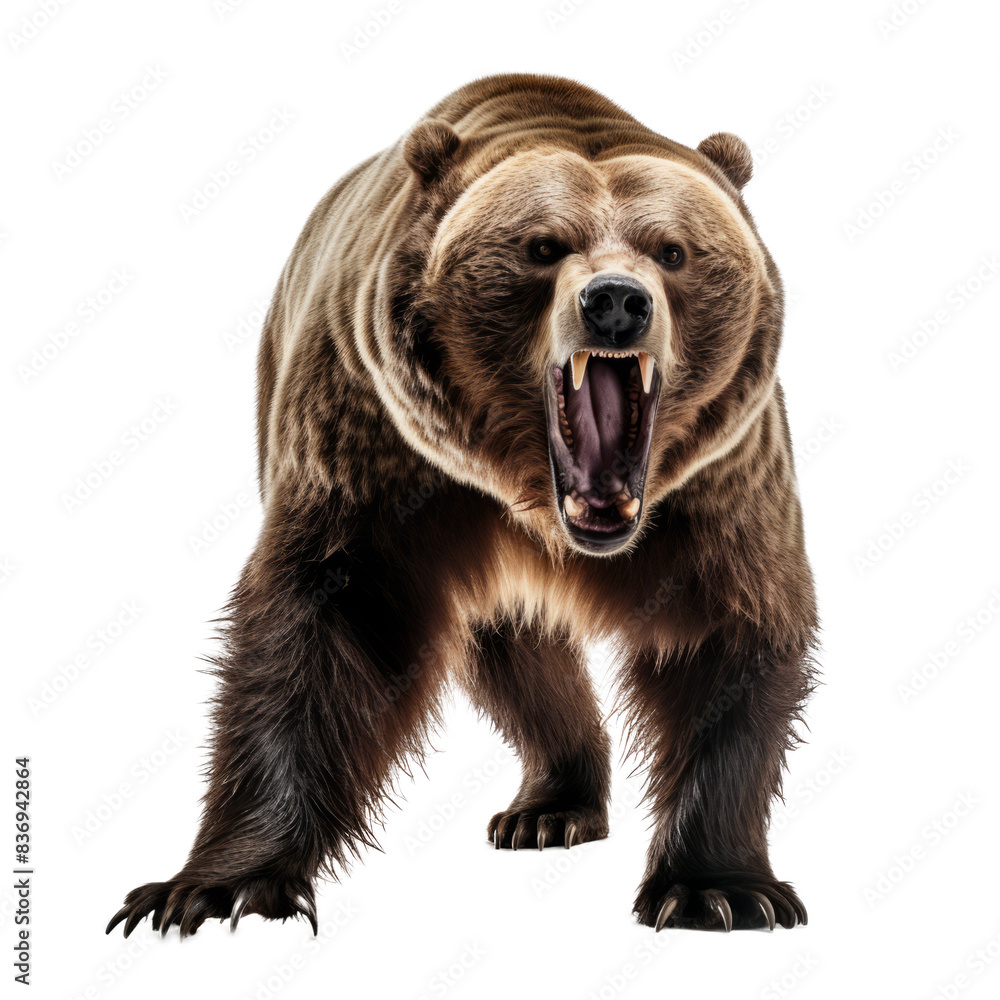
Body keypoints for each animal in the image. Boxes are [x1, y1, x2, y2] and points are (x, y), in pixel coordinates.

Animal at [108, 73, 817, 938]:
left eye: (673, 250)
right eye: (543, 246)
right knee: (511, 656)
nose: (616, 301)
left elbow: (728, 635)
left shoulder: (717, 486)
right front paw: (217, 887)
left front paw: (719, 888)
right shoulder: (378, 456)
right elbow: (327, 630)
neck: (540, 503)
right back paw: (549, 804)